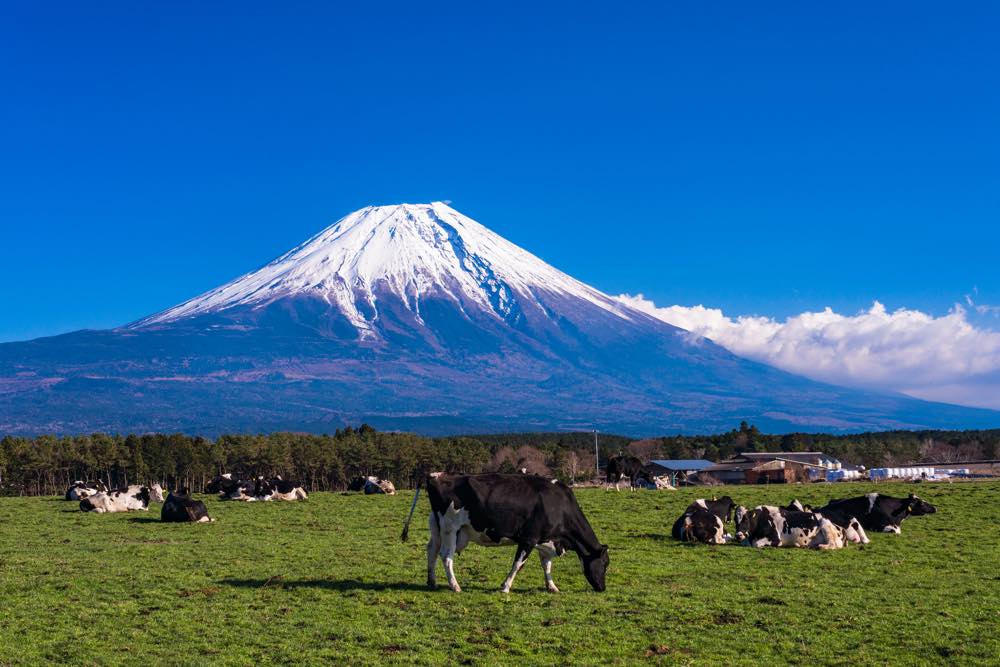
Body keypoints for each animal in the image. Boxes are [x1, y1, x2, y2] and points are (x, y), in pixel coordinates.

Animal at [400, 474, 608, 596]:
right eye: (605, 564)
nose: (602, 588)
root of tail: (434, 476)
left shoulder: (546, 540)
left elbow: (546, 566)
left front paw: (552, 587)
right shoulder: (529, 539)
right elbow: (518, 564)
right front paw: (505, 587)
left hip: (441, 528)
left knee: (432, 550)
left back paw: (432, 581)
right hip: (450, 528)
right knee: (446, 556)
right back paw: (455, 586)